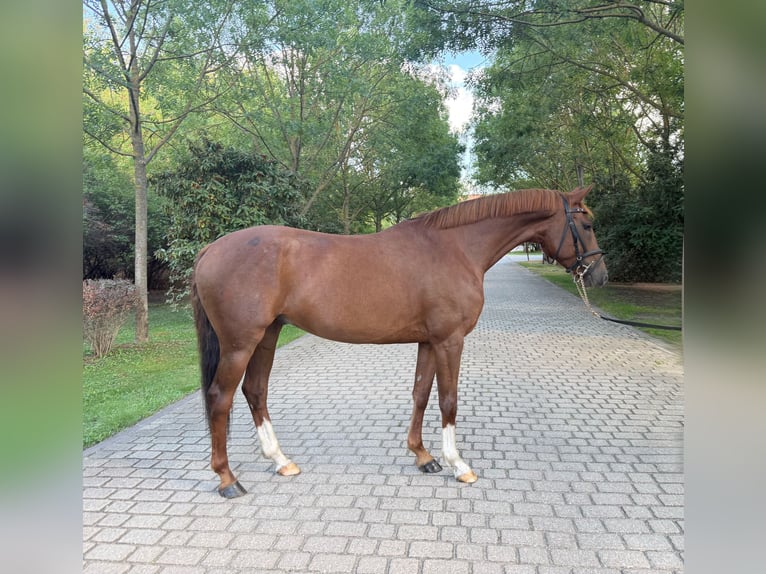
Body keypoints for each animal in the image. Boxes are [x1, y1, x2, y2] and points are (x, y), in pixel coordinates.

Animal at [190, 185, 607, 498]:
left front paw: (424, 457)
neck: (456, 248)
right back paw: (228, 479)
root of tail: (211, 249)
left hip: (268, 336)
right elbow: (448, 400)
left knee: (255, 391)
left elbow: (421, 393)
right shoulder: (450, 341)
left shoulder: (429, 341)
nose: (599, 274)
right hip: (240, 344)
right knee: (221, 399)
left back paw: (281, 461)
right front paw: (459, 465)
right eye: (586, 223)